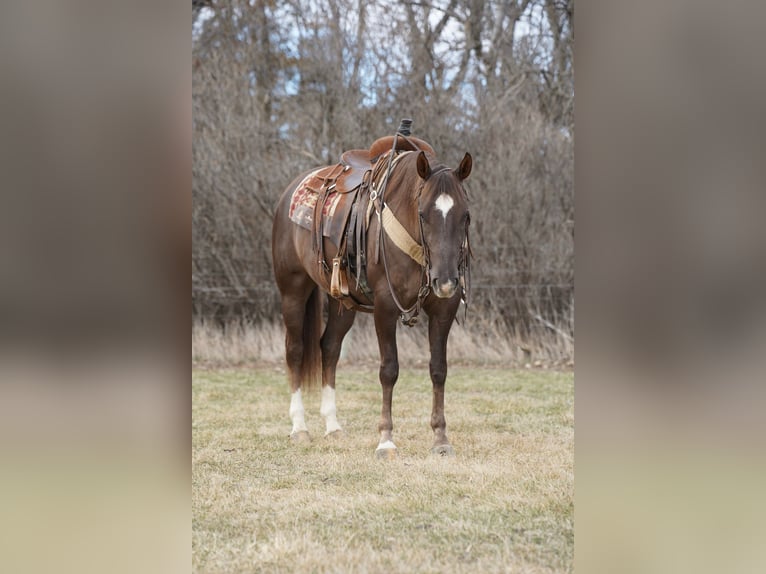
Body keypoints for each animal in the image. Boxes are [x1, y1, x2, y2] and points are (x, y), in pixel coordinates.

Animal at [271, 133, 472, 458]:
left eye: (465, 215)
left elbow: (438, 369)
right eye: (423, 214)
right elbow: (389, 370)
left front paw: (441, 438)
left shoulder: (444, 309)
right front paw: (386, 440)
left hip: (342, 301)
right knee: (295, 350)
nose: (445, 280)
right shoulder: (385, 307)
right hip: (293, 289)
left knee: (330, 348)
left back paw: (333, 426)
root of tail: (290, 193)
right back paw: (299, 428)